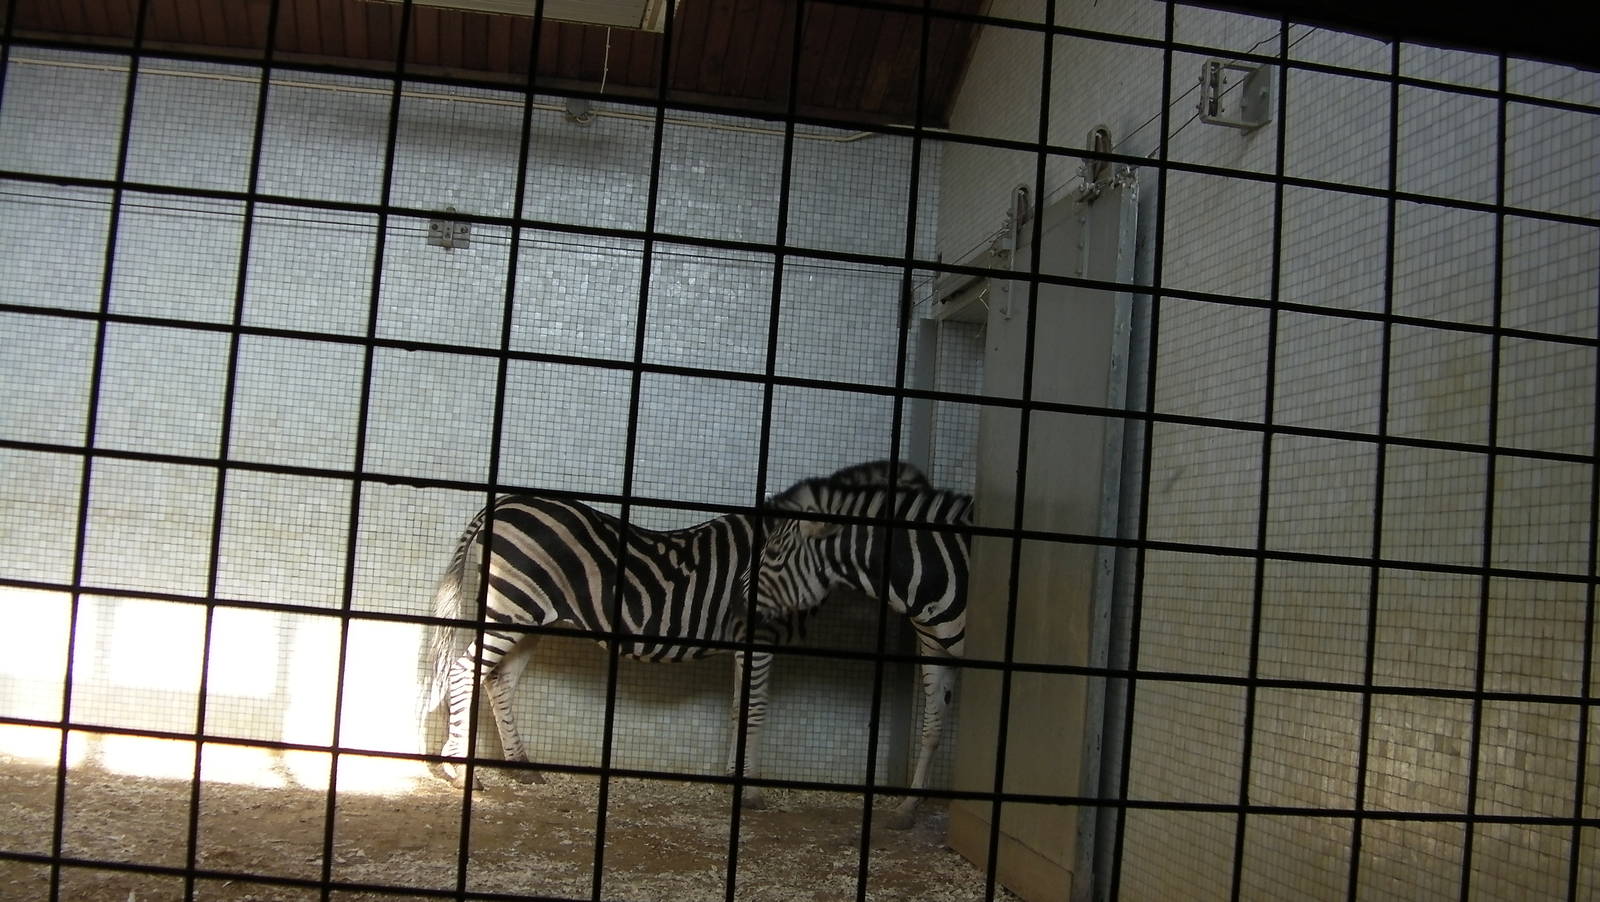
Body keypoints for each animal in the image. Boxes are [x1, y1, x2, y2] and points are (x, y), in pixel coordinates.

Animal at [424, 459, 931, 810]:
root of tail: (503, 502)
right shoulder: (757, 632)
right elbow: (753, 709)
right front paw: (748, 793)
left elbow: (739, 708)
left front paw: (734, 780)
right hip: (512, 608)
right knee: (465, 672)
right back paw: (459, 773)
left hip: (527, 618)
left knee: (498, 681)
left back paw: (521, 767)